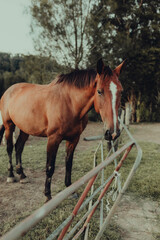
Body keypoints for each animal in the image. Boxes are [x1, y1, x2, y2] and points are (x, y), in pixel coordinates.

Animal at [0, 59, 125, 202]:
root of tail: (9, 91)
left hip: (25, 129)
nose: (113, 132)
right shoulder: (53, 139)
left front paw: (70, 190)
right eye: (99, 91)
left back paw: (22, 175)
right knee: (10, 148)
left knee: (19, 147)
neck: (70, 103)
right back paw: (11, 175)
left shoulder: (73, 139)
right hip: (9, 126)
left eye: (121, 91)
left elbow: (68, 164)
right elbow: (50, 167)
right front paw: (47, 195)